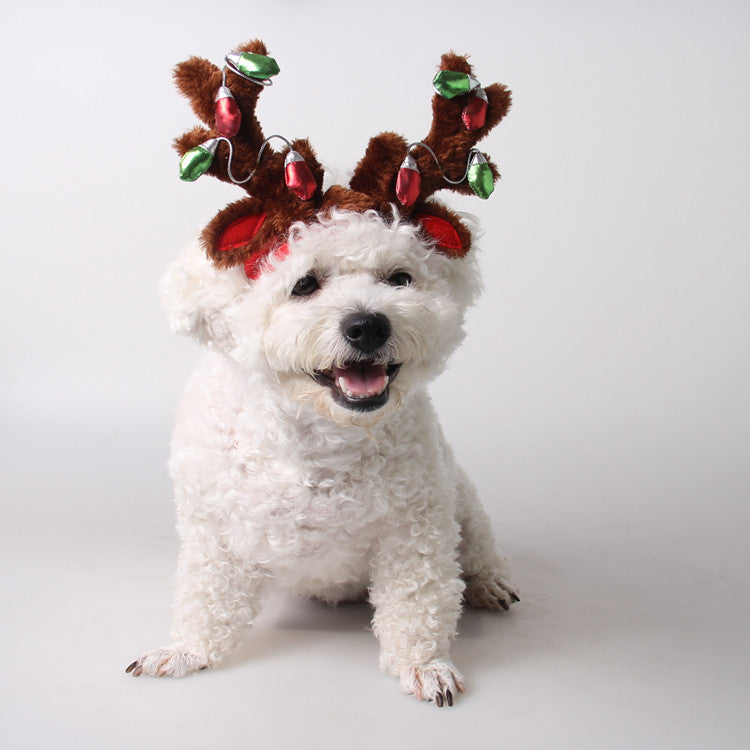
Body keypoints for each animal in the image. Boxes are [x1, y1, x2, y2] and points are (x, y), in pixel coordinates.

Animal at [126, 42, 520, 712]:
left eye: (399, 278)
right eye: (305, 283)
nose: (368, 325)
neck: (317, 437)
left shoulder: (416, 532)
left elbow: (419, 604)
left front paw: (426, 664)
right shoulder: (213, 531)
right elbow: (207, 597)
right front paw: (188, 650)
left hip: (462, 503)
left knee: (478, 549)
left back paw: (491, 582)